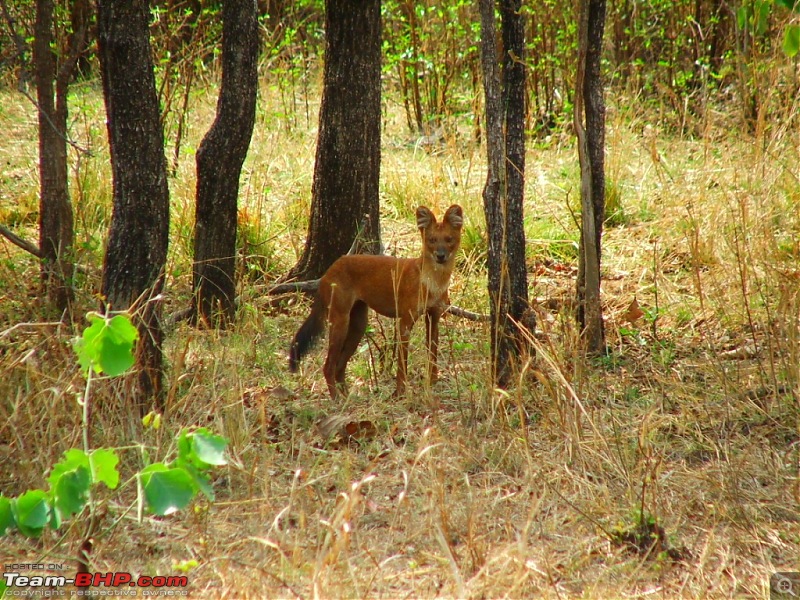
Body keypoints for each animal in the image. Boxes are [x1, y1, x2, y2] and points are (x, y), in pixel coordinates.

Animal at [290, 205, 462, 398]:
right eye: (432, 240)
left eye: (448, 239)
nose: (440, 256)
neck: (434, 283)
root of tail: (330, 269)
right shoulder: (405, 321)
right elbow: (402, 362)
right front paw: (399, 393)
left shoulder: (434, 317)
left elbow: (432, 354)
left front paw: (432, 384)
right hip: (340, 321)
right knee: (328, 367)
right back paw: (336, 400)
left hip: (358, 325)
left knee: (340, 366)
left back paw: (348, 398)